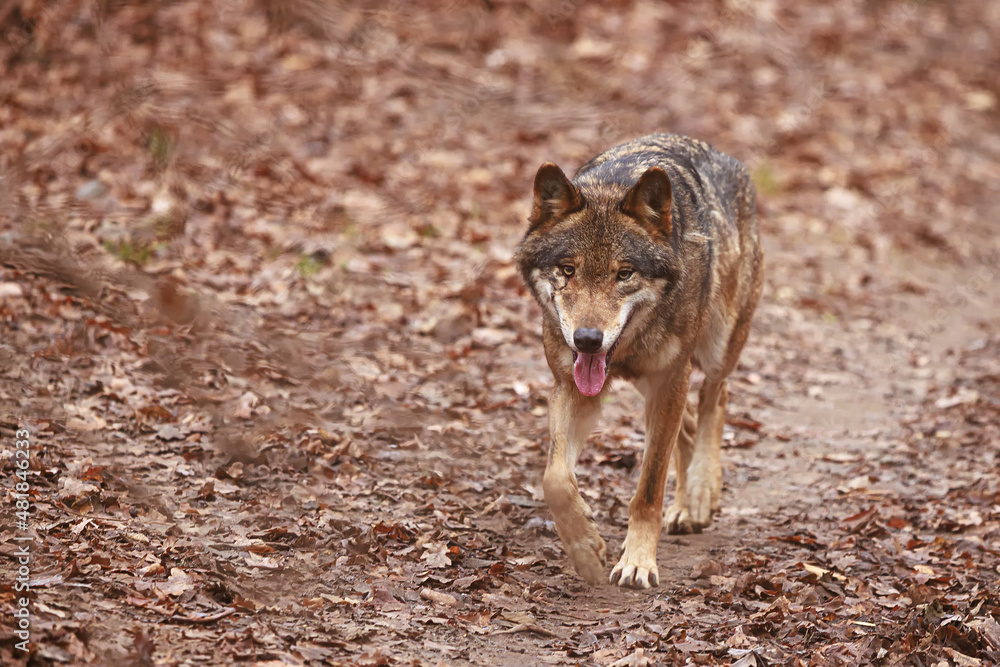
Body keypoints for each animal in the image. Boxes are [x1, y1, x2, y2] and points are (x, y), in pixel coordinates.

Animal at [516, 133, 764, 588]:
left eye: (625, 273)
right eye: (568, 270)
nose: (588, 340)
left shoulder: (669, 381)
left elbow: (648, 488)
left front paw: (637, 562)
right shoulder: (571, 386)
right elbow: (555, 479)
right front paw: (586, 550)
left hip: (716, 348)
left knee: (714, 399)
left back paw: (702, 492)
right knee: (688, 424)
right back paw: (685, 508)